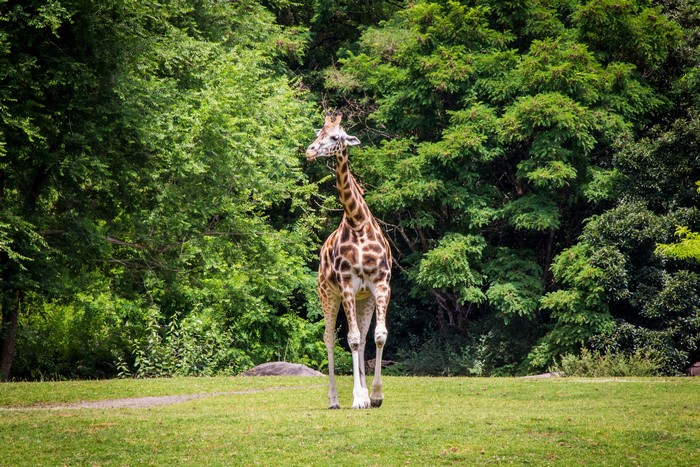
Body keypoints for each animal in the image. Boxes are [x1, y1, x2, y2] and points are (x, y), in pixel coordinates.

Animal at [306, 113, 392, 409]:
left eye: (335, 137)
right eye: (318, 134)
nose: (309, 151)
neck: (357, 223)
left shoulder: (381, 284)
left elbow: (378, 336)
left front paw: (374, 395)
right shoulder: (345, 285)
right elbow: (351, 340)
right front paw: (357, 398)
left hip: (364, 299)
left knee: (364, 338)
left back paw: (365, 395)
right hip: (327, 294)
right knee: (330, 338)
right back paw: (334, 400)